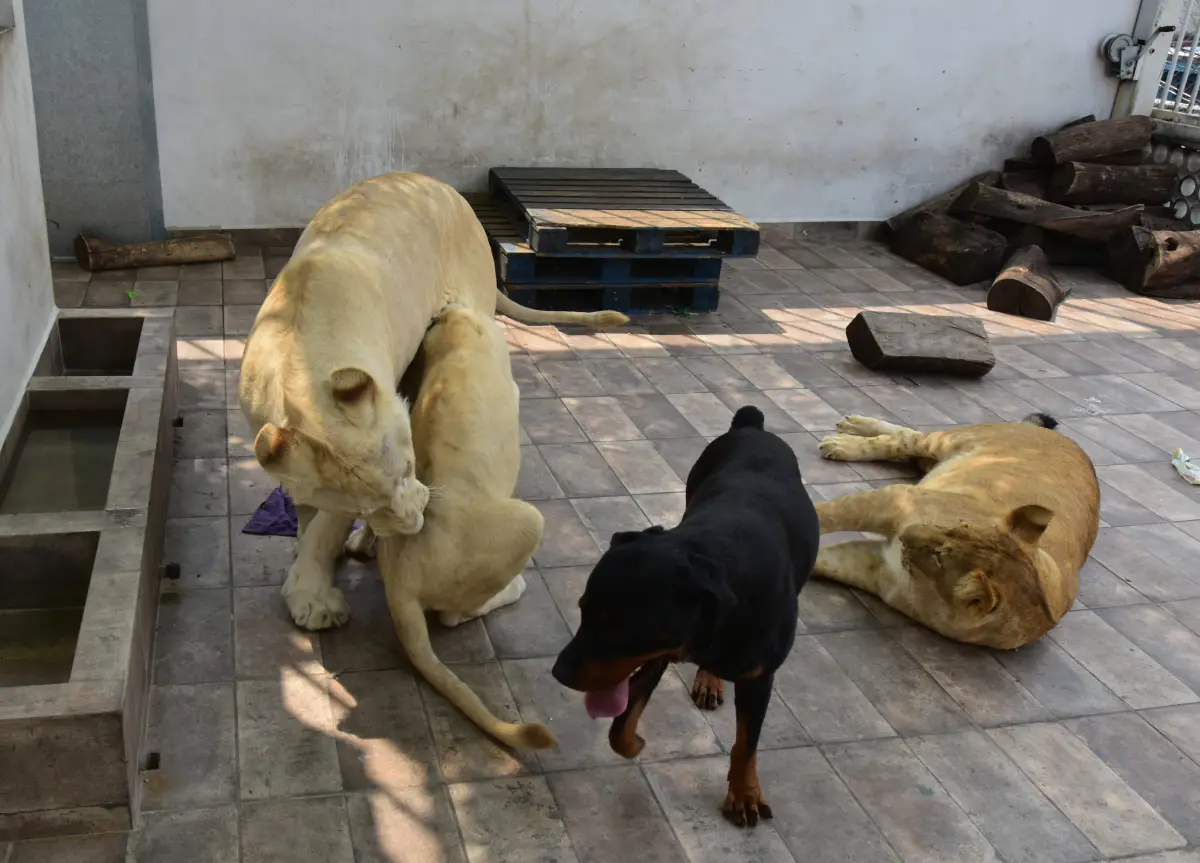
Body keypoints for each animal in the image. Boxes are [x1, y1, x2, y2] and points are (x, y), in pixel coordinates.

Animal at [239, 172, 626, 631]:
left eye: (408, 469)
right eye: (369, 506)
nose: (416, 524)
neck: (296, 369)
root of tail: (441, 186)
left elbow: (325, 528)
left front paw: (313, 597)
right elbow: (308, 510)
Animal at [812, 413, 1100, 649]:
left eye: (940, 557)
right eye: (958, 526)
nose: (905, 534)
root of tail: (1074, 444)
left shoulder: (876, 569)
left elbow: (821, 558)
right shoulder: (896, 499)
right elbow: (825, 514)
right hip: (948, 440)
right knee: (907, 437)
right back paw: (846, 435)